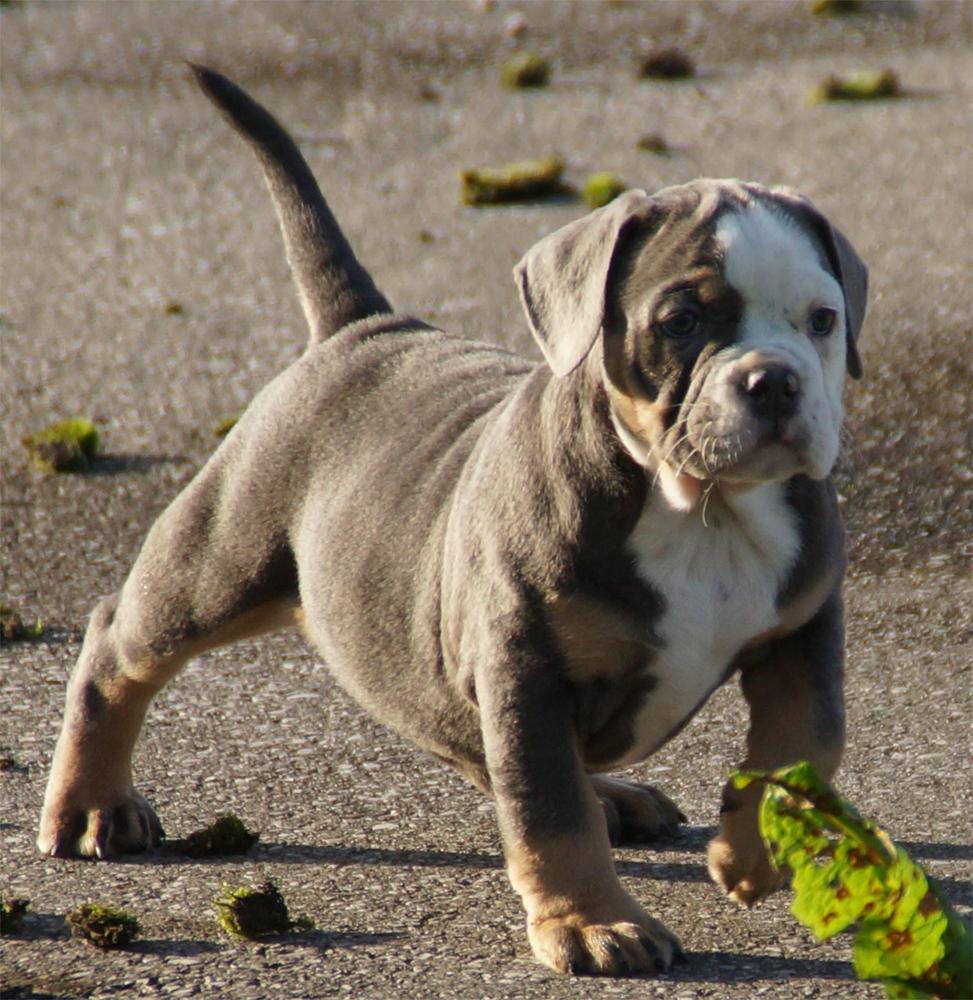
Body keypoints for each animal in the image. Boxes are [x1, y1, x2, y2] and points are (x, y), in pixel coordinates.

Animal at [39, 64, 864, 976]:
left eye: (822, 321)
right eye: (680, 322)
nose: (774, 380)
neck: (701, 509)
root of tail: (364, 327)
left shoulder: (802, 632)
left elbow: (804, 742)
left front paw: (752, 854)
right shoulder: (527, 666)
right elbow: (550, 811)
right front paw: (592, 923)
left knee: (477, 740)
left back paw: (611, 793)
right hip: (220, 561)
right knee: (119, 650)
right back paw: (92, 803)